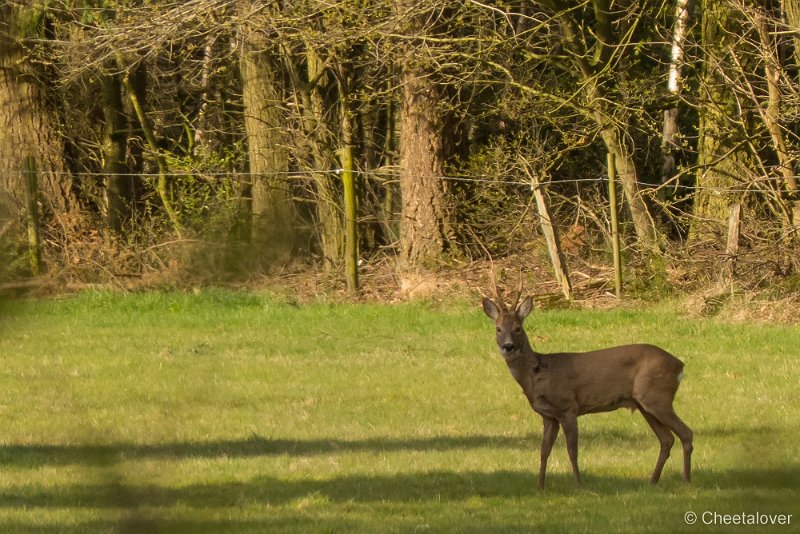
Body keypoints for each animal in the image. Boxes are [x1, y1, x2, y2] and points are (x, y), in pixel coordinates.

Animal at [482, 278, 692, 492]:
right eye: (498, 329)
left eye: (518, 328)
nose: (508, 346)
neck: (538, 374)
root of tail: (680, 365)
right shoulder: (549, 416)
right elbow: (544, 451)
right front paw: (540, 486)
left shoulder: (568, 407)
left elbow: (572, 450)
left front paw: (579, 484)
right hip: (644, 404)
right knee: (667, 439)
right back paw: (653, 481)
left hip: (657, 396)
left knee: (686, 433)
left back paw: (686, 480)